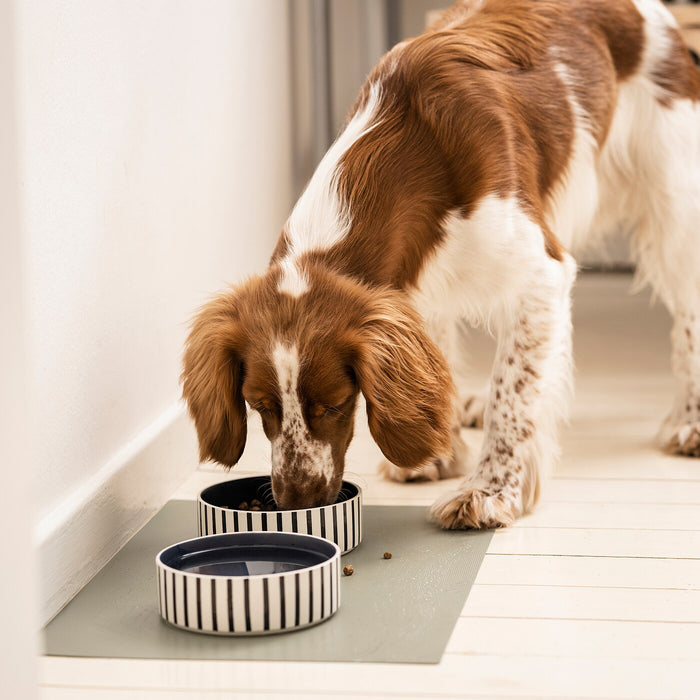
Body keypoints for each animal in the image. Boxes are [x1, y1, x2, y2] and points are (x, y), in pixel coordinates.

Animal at [182, 0, 700, 524]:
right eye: (258, 405)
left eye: (335, 403)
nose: (297, 503)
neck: (417, 148)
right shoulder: (410, 289)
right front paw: (436, 456)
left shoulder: (541, 275)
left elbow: (513, 392)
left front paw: (489, 492)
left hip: (674, 215)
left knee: (686, 317)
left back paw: (689, 423)